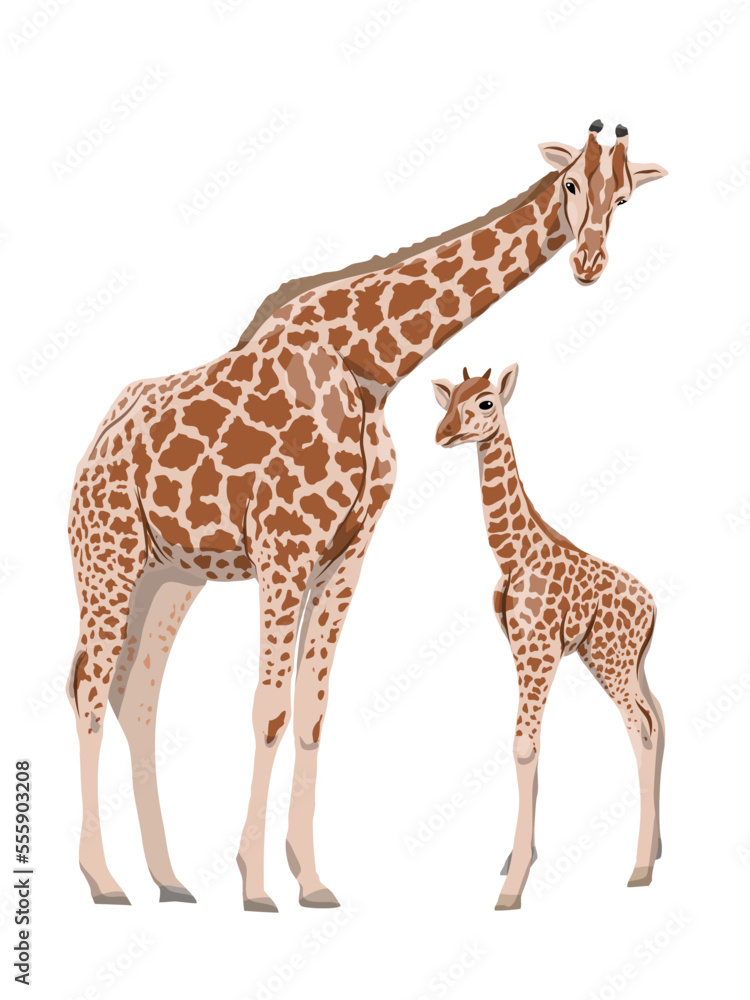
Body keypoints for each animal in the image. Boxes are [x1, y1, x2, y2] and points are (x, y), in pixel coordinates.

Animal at [432, 364, 666, 910]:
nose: (443, 433)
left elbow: (523, 746)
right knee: (659, 718)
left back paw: (640, 869)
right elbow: (530, 745)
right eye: (448, 399)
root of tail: (653, 606)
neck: (512, 555)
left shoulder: (538, 649)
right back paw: (658, 850)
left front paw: (513, 888)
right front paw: (516, 862)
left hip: (611, 658)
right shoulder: (523, 649)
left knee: (641, 730)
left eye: (486, 402)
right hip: (624, 660)